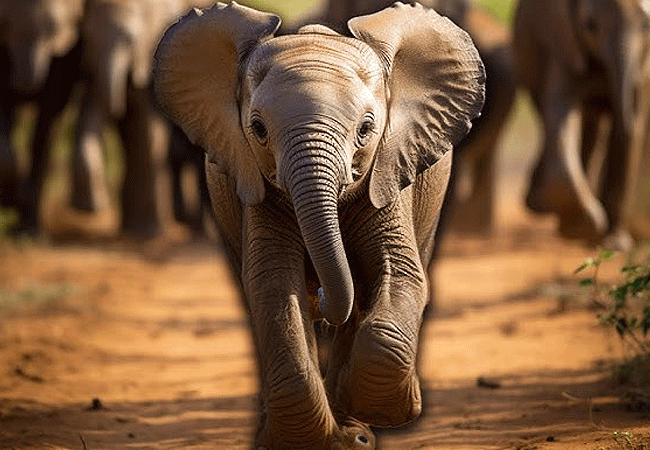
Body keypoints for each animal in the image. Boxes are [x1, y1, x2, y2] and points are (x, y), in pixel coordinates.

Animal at [0, 0, 85, 232]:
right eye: (6, 24)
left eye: (52, 31)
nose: (26, 85)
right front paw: (13, 198)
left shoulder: (67, 53)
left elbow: (48, 119)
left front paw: (30, 230)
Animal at [154, 1, 484, 448]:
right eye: (258, 128)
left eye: (366, 128)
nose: (325, 300)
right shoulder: (256, 186)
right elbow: (273, 286)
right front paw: (299, 439)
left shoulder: (389, 169)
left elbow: (399, 272)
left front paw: (390, 410)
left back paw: (355, 432)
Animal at [512, 0, 648, 248]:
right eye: (591, 26)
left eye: (646, 25)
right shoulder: (564, 41)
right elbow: (560, 111)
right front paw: (580, 230)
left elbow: (629, 130)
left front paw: (614, 244)